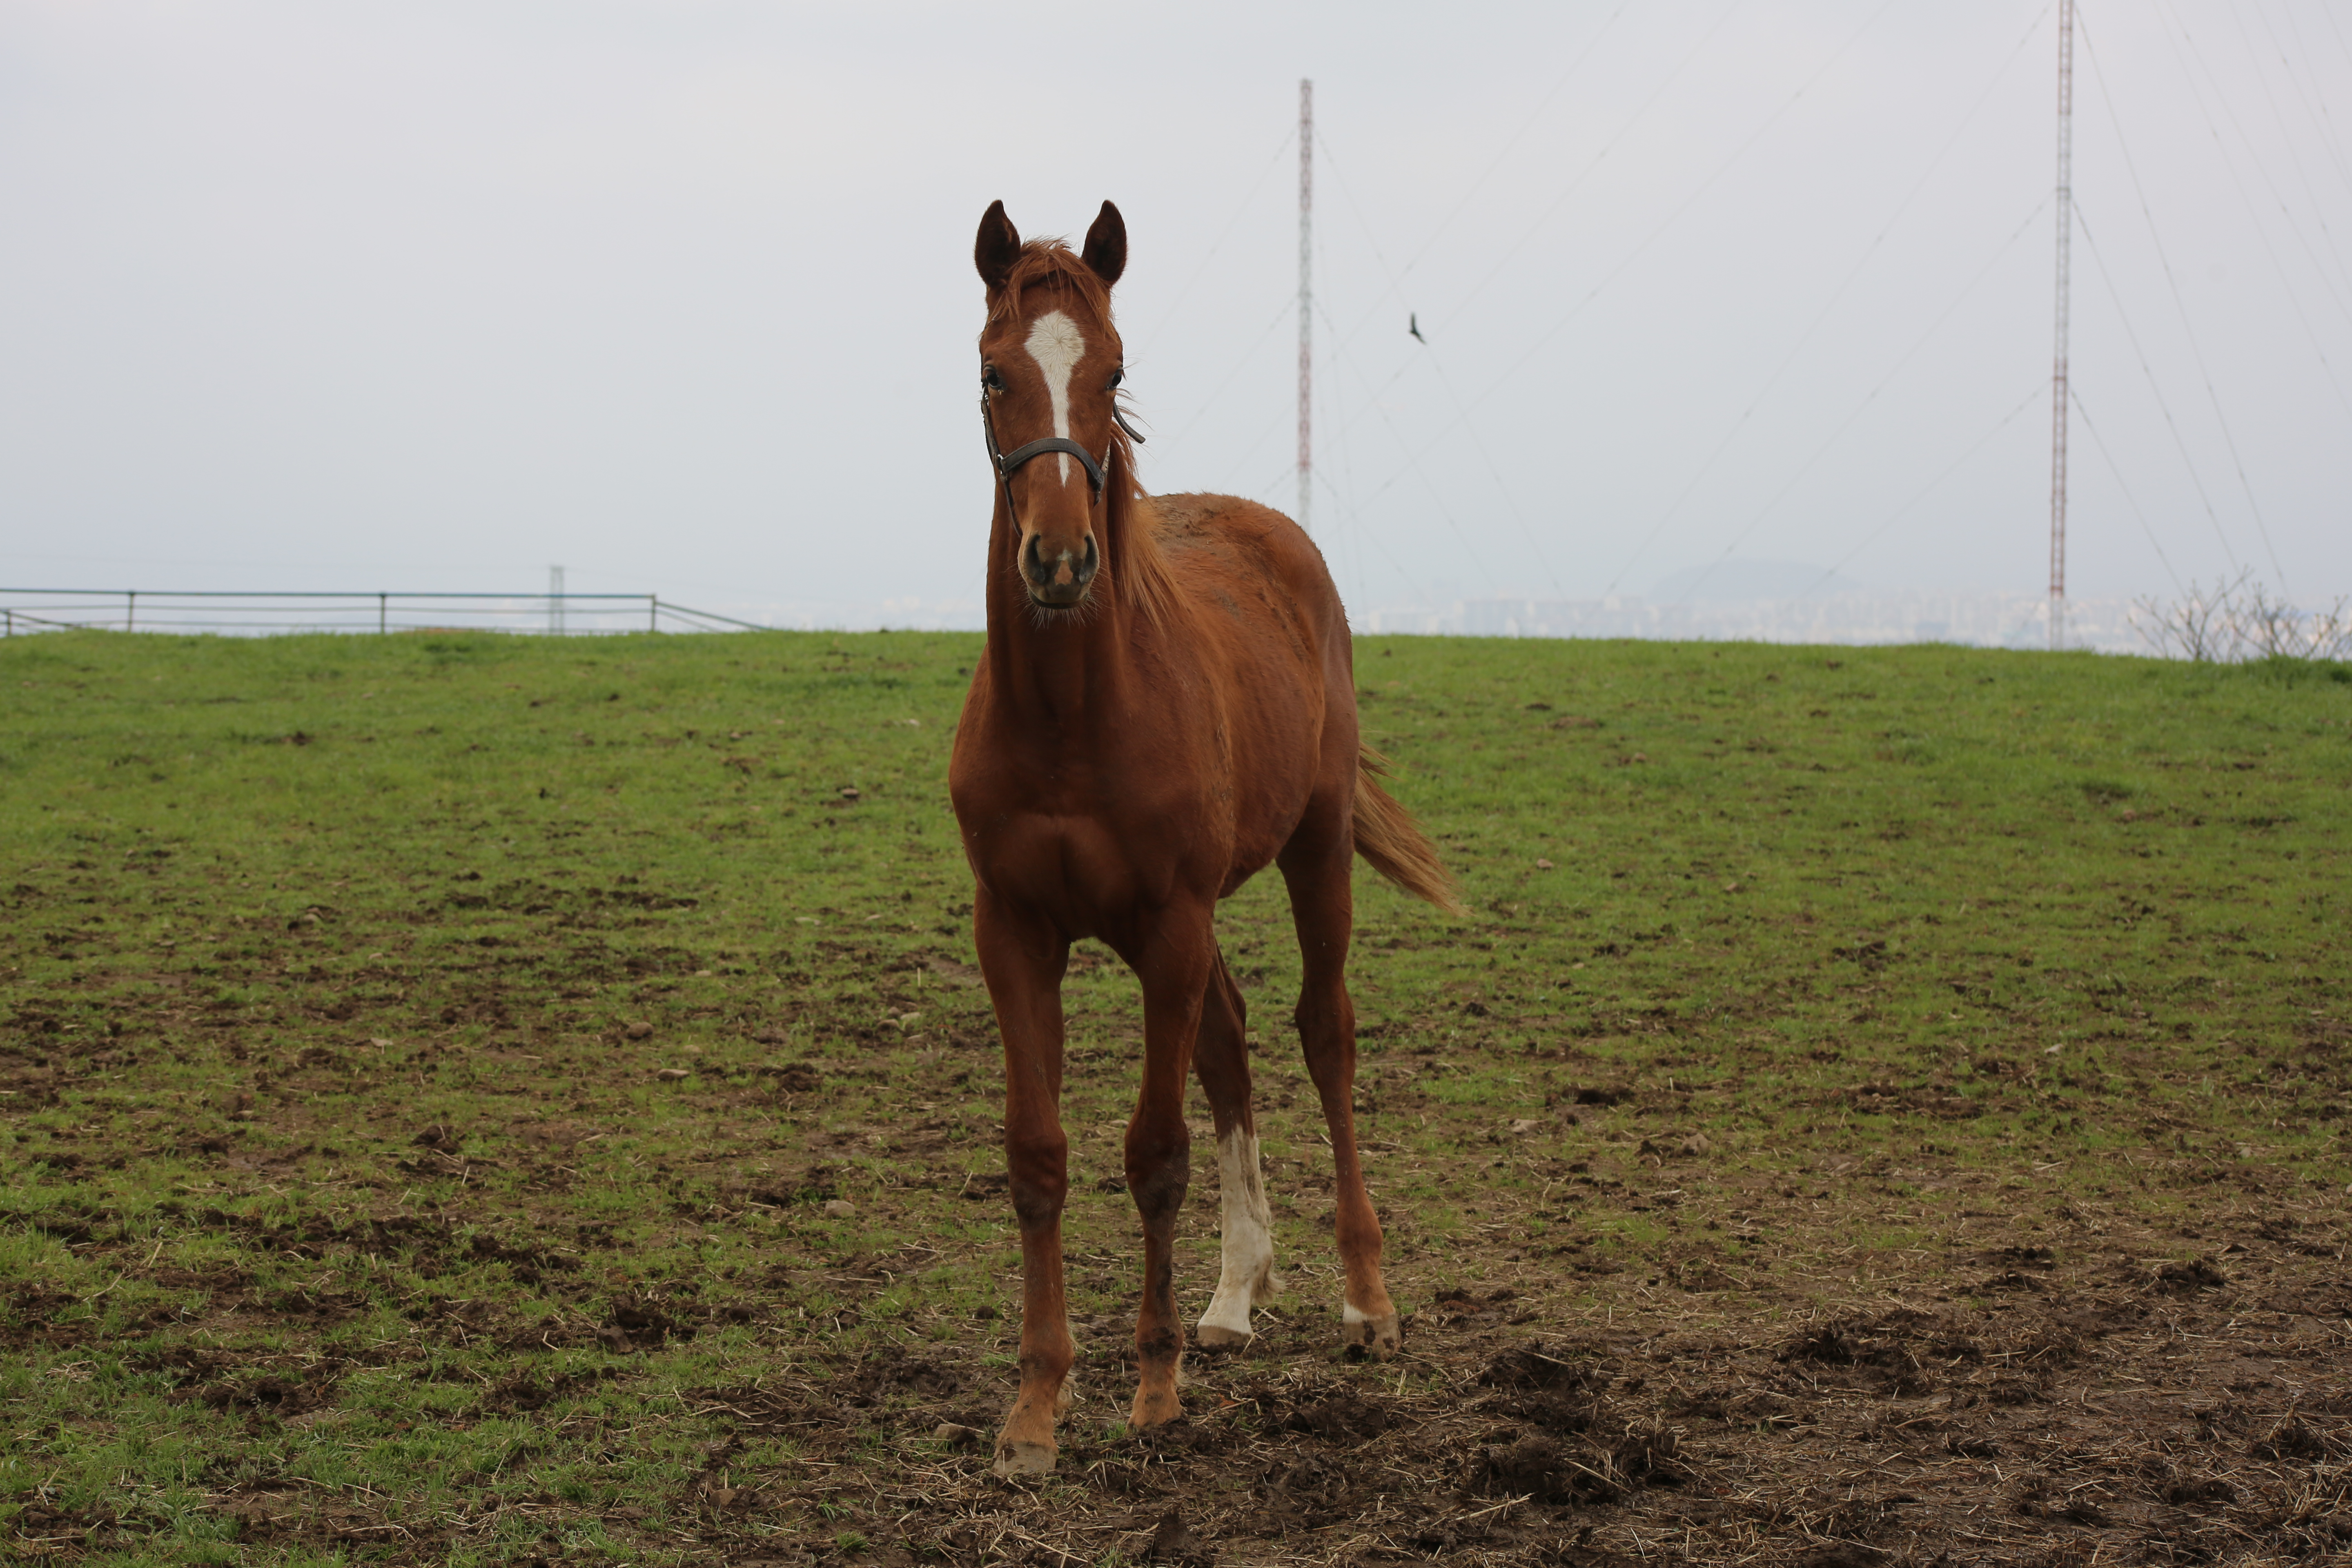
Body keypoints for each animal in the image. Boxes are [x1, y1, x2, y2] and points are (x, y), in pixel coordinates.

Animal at [950, 196, 1458, 1476]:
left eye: (1114, 371)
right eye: (993, 374)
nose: (1060, 559)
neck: (1073, 714)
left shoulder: (1170, 922)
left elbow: (1153, 1152)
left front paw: (1152, 1385)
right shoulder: (1015, 930)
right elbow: (1040, 1154)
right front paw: (1034, 1407)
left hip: (1309, 855)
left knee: (1322, 1034)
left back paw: (1363, 1300)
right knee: (1229, 1042)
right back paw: (1234, 1297)